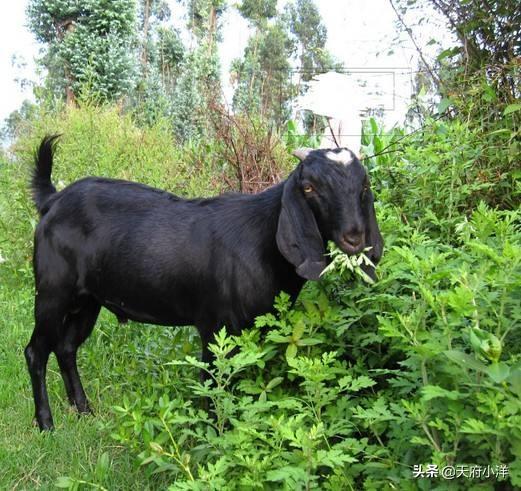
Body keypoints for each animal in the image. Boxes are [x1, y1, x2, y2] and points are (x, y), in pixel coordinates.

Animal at [24, 135, 382, 430]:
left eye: (364, 187)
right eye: (309, 187)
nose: (354, 237)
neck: (262, 239)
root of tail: (52, 201)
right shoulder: (214, 326)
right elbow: (213, 383)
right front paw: (214, 436)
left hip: (88, 300)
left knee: (66, 347)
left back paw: (84, 411)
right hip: (53, 292)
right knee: (35, 351)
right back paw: (46, 424)